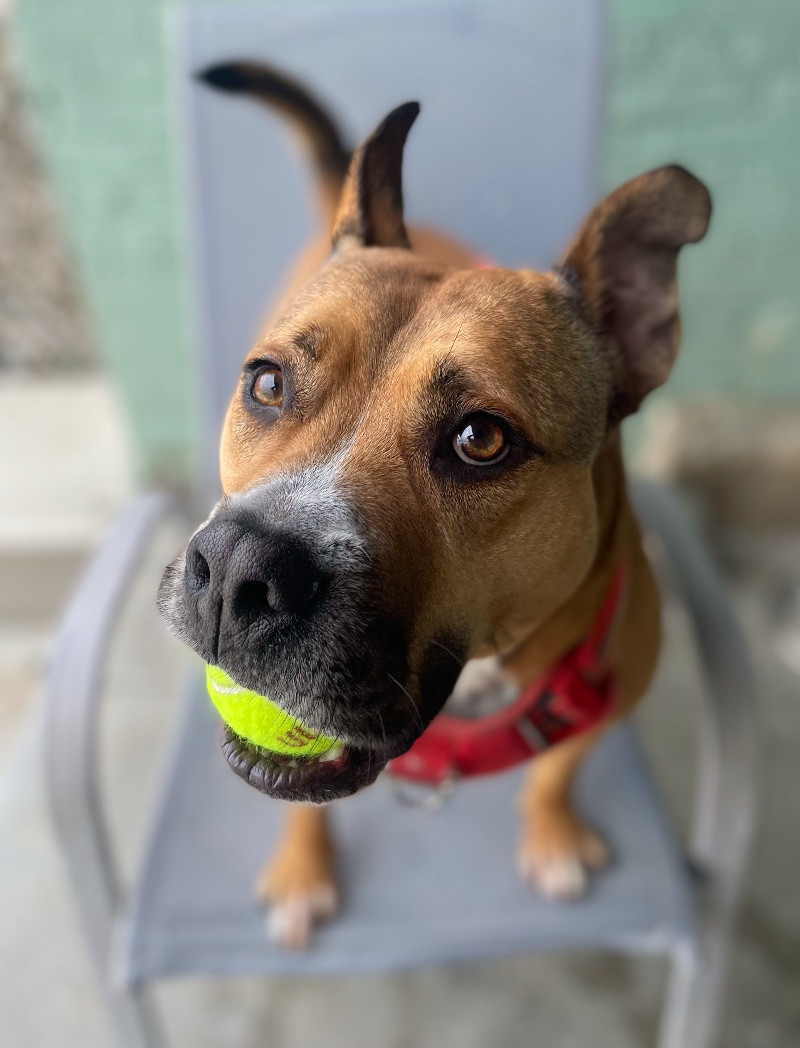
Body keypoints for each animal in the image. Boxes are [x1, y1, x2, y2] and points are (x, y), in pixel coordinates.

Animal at [158, 65, 712, 951]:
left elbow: (559, 769)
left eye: (480, 439)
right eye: (268, 384)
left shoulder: (610, 698)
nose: (238, 569)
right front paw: (301, 870)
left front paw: (552, 831)